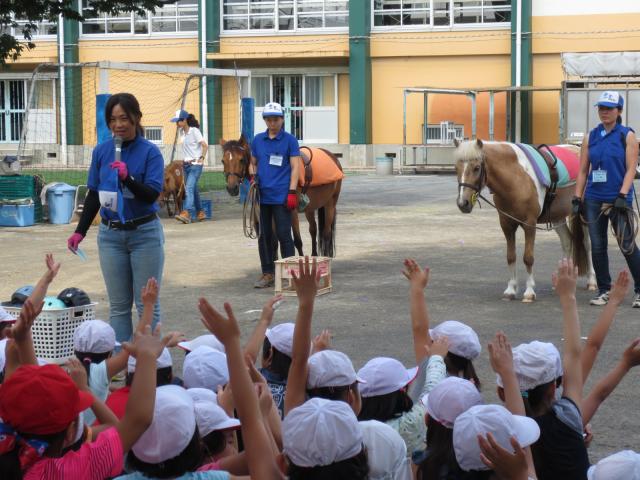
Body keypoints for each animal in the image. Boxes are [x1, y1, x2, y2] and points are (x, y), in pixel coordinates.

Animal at [456, 139, 596, 302]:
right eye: (456, 168)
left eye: (477, 168)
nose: (463, 203)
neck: (517, 177)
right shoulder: (506, 224)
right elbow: (511, 256)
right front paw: (510, 290)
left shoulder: (530, 224)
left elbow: (528, 258)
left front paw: (529, 292)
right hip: (557, 217)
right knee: (567, 241)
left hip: (584, 215)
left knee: (587, 244)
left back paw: (592, 281)